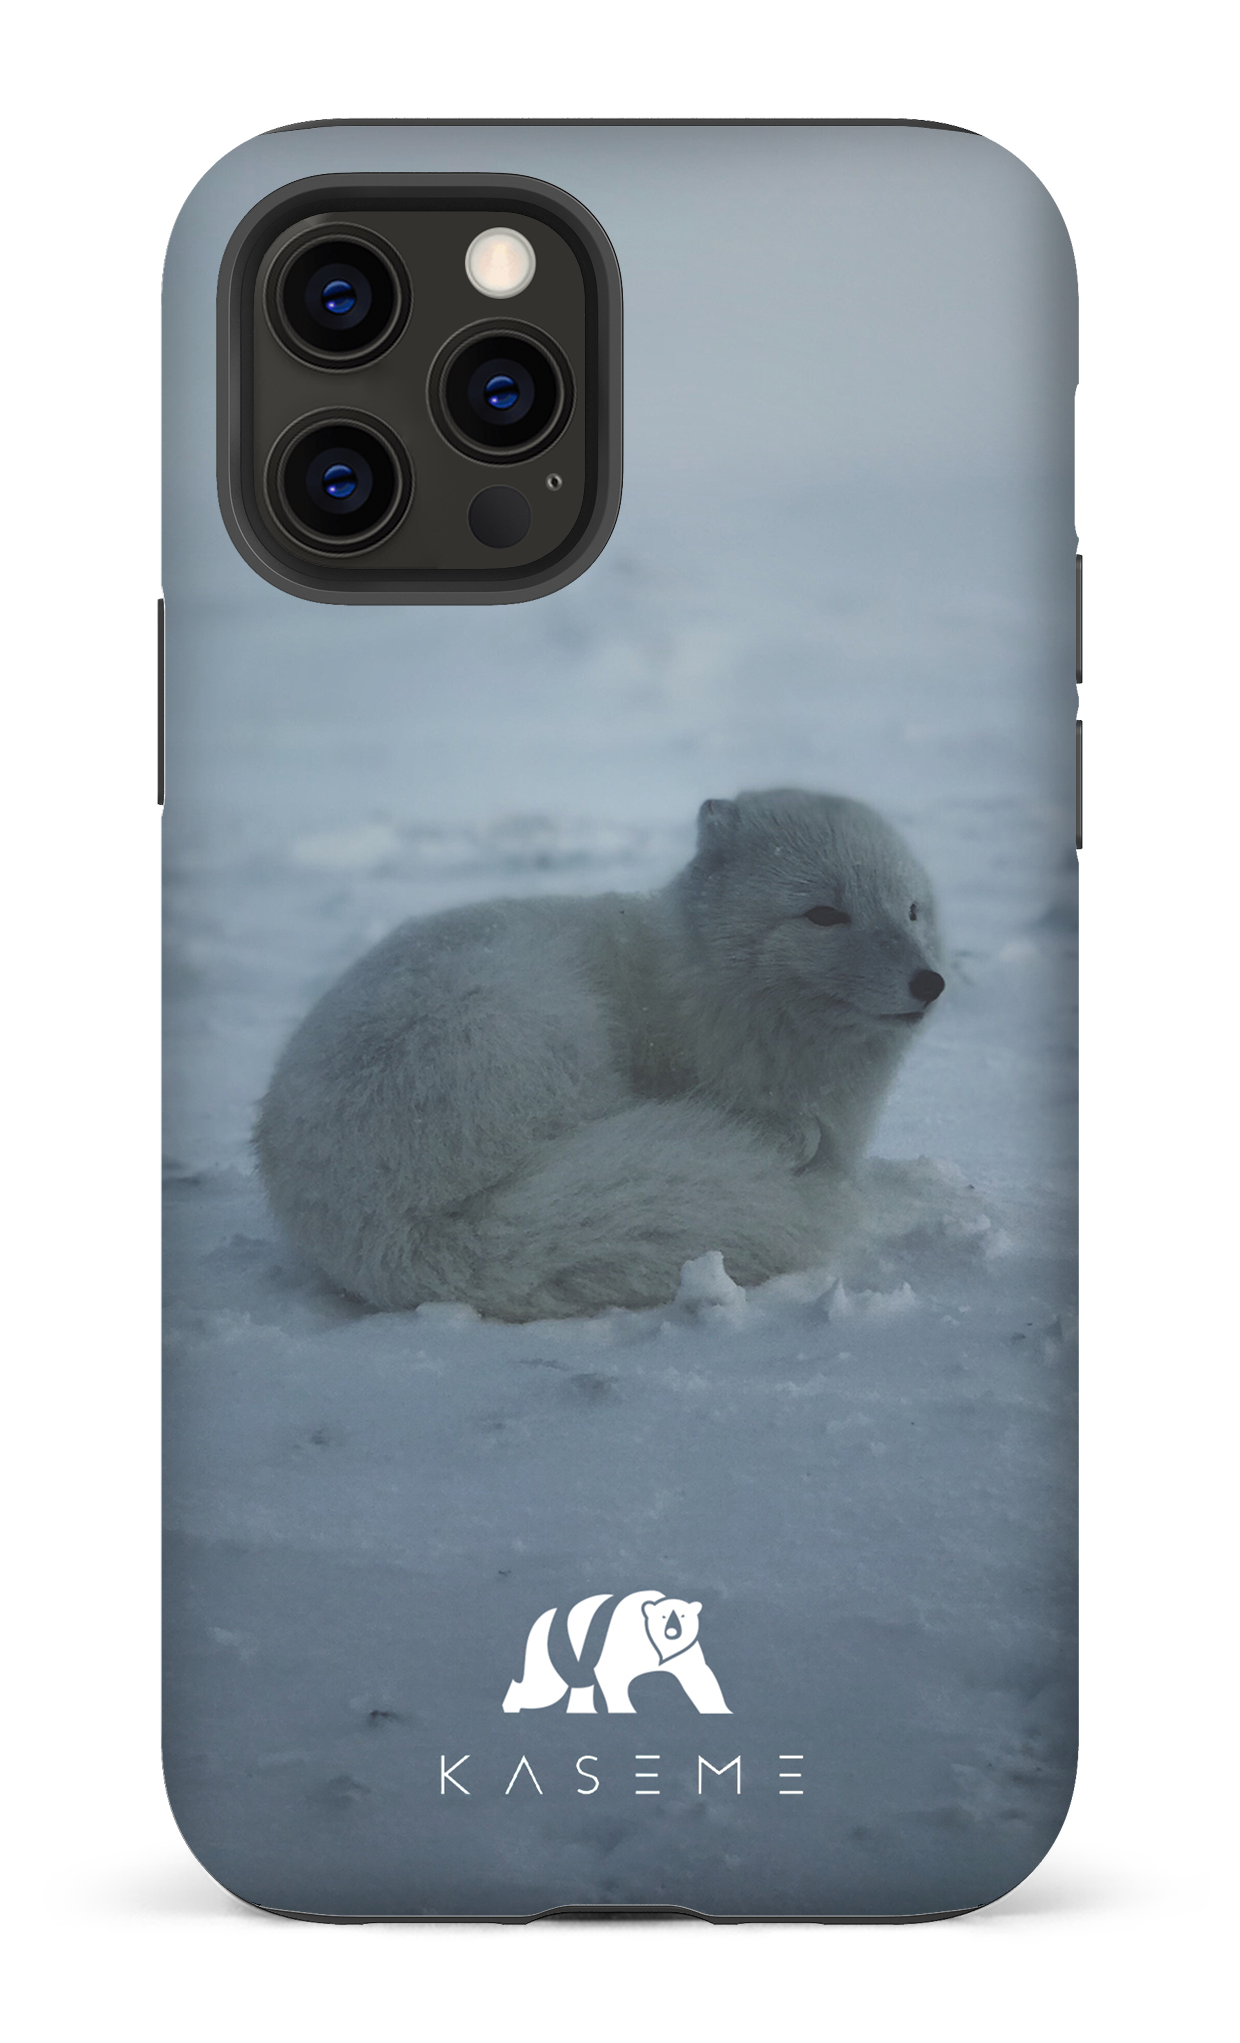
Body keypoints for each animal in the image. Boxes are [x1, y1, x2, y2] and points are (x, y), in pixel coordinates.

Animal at [255, 789, 945, 1320]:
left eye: (911, 910)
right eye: (824, 914)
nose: (930, 982)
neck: (702, 983)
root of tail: (394, 1230)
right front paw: (790, 1138)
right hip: (533, 1027)